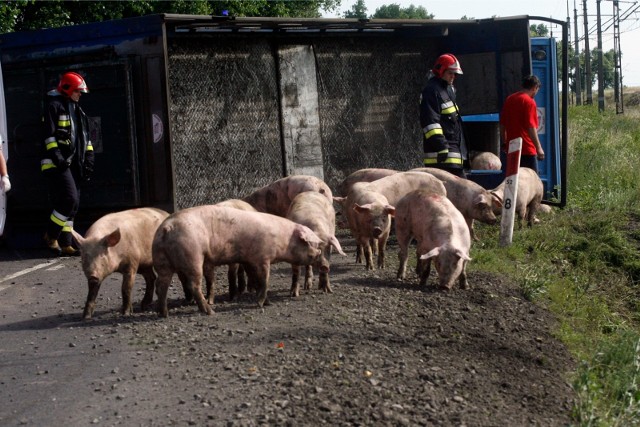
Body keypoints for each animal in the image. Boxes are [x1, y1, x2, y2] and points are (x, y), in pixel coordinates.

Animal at [152, 204, 322, 318]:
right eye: (310, 243)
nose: (320, 253)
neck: (283, 239)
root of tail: (167, 228)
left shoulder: (249, 260)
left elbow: (256, 280)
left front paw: (266, 302)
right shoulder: (263, 258)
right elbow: (264, 280)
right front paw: (260, 304)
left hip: (161, 260)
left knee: (161, 285)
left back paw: (164, 314)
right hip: (193, 256)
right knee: (193, 285)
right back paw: (210, 311)